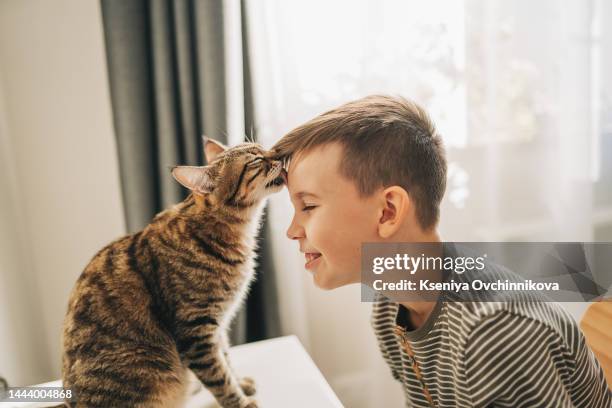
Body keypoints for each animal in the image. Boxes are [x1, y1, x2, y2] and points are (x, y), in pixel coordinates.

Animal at [58, 139, 286, 406]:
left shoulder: (218, 326)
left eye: (262, 147)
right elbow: (220, 378)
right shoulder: (196, 332)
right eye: (256, 160)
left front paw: (242, 384)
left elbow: (227, 359)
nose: (278, 154)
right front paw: (240, 401)